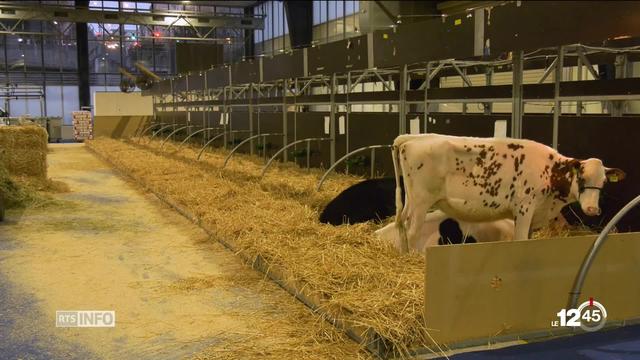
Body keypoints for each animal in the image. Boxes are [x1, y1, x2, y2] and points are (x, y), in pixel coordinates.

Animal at [384, 134, 624, 255]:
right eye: (581, 178)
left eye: (603, 182)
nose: (592, 209)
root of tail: (412, 139)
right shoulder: (524, 208)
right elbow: (520, 240)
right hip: (422, 202)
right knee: (413, 231)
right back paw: (413, 258)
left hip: (411, 201)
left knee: (401, 225)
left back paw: (403, 255)